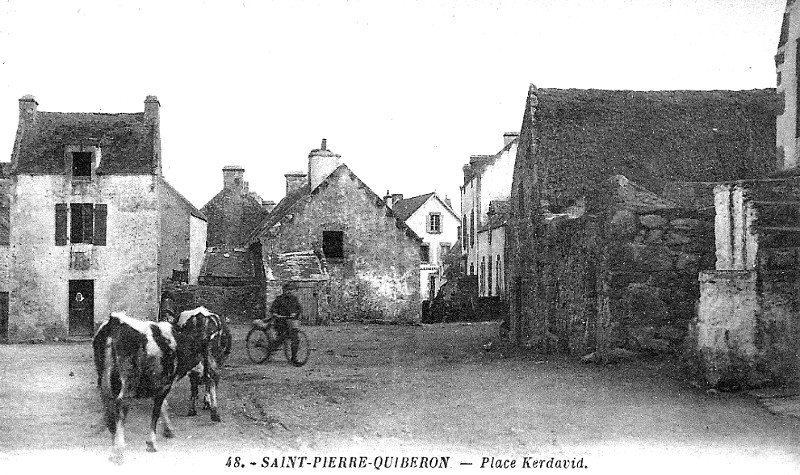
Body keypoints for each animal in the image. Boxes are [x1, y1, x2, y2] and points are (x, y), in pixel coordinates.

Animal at [93, 310, 209, 462]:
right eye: (201, 353)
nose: (203, 374)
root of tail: (115, 321)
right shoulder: (164, 386)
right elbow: (156, 412)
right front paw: (152, 443)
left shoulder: (158, 386)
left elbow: (163, 407)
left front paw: (168, 430)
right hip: (129, 382)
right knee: (121, 404)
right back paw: (119, 451)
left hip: (103, 378)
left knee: (108, 404)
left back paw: (112, 442)